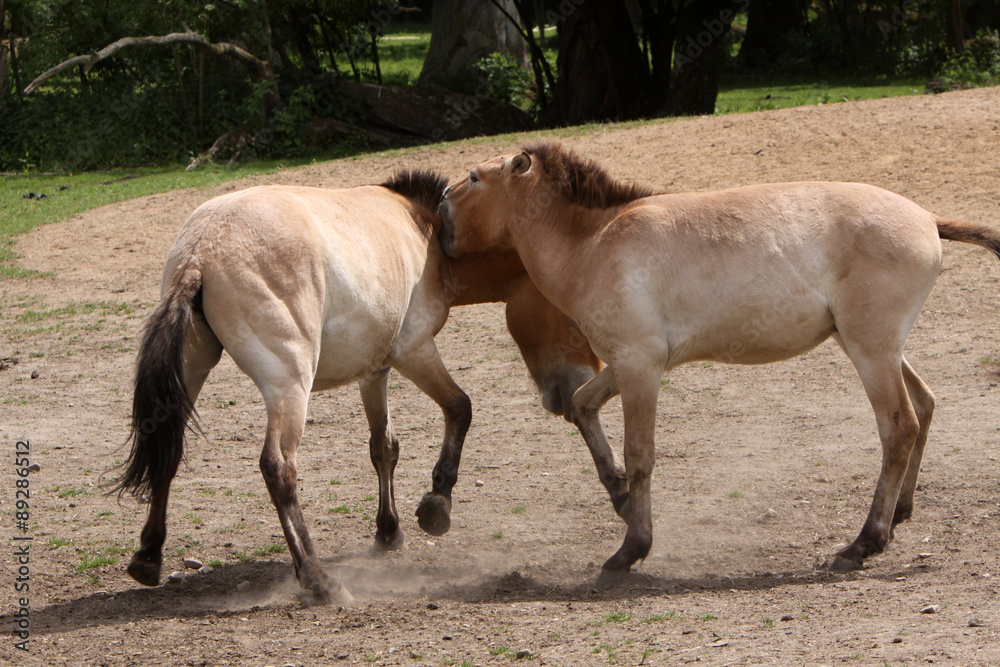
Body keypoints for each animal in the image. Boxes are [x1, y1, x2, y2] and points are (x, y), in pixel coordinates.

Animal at [110, 169, 601, 605]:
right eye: (570, 311)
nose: (579, 385)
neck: (425, 233)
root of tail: (202, 251)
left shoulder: (374, 372)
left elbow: (383, 447)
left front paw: (389, 531)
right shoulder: (414, 351)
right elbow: (460, 407)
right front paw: (436, 504)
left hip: (192, 370)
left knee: (168, 448)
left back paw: (148, 557)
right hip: (289, 385)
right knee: (278, 467)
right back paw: (319, 581)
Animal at [438, 140, 1000, 580]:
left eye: (474, 177)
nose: (440, 208)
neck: (594, 243)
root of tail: (927, 219)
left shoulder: (640, 367)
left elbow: (641, 454)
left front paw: (629, 551)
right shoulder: (628, 365)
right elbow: (582, 405)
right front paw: (619, 499)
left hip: (872, 351)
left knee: (900, 426)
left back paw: (864, 543)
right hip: (871, 346)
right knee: (924, 407)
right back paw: (899, 515)